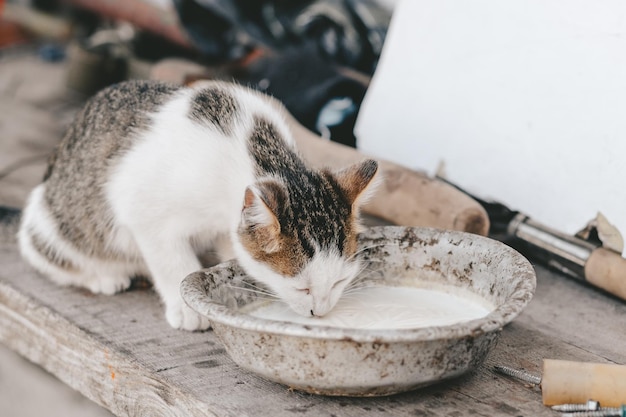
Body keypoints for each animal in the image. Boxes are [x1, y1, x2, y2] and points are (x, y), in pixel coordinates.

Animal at [17, 79, 378, 330]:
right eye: (302, 288)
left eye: (340, 281)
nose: (321, 311)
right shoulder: (140, 207)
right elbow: (170, 259)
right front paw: (186, 308)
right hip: (51, 226)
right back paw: (103, 277)